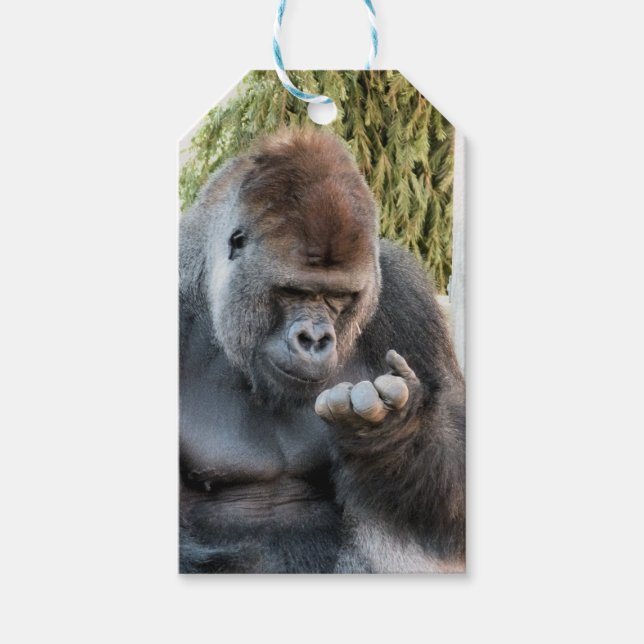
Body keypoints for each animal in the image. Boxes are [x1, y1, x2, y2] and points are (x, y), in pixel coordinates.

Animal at [179, 127, 465, 573]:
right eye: (294, 291)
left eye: (337, 297)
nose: (314, 340)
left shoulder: (406, 299)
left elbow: (455, 503)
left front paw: (390, 433)